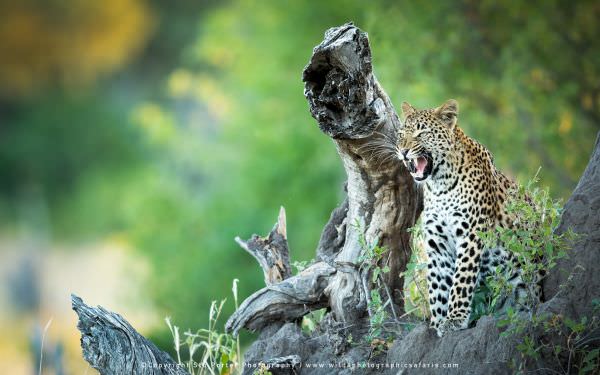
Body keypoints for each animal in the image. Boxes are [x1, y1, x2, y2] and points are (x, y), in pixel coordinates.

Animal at [394, 99, 536, 338]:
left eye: (422, 133)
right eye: (401, 134)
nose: (403, 151)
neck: (439, 185)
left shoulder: (471, 234)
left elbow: (462, 278)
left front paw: (454, 319)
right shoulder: (438, 242)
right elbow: (438, 285)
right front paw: (437, 323)